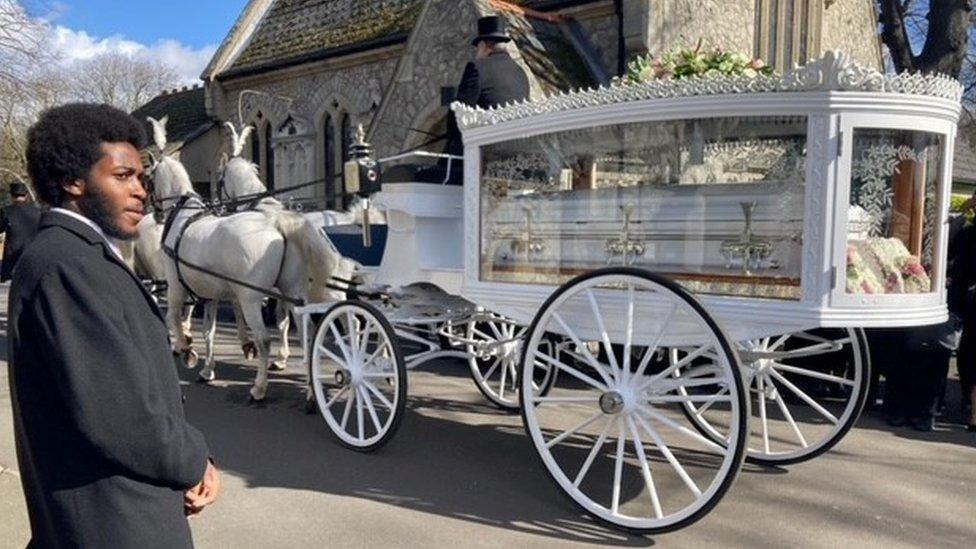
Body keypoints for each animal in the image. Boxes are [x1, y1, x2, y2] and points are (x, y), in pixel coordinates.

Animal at [149, 116, 346, 398]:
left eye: (147, 178)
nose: (155, 214)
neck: (184, 215)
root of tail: (276, 224)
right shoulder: (212, 292)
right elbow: (209, 331)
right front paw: (207, 369)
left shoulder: (177, 287)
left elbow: (173, 318)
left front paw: (186, 349)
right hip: (294, 290)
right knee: (307, 331)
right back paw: (311, 388)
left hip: (251, 296)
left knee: (267, 338)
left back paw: (259, 387)